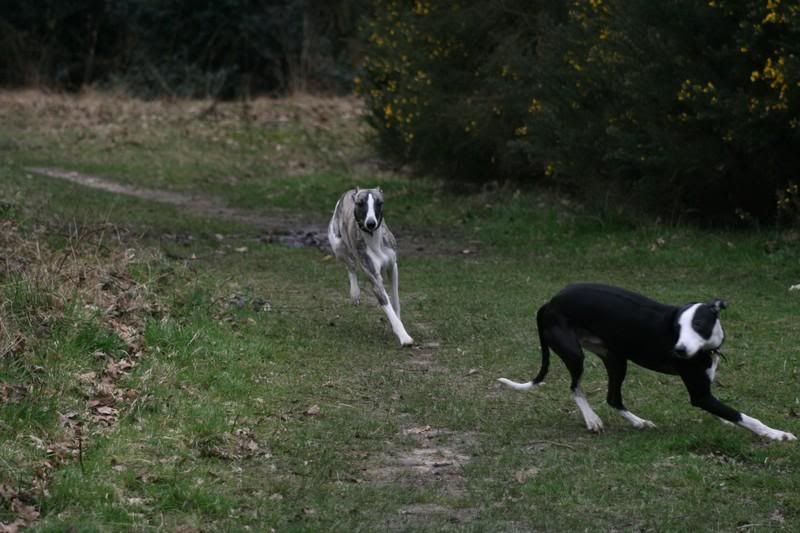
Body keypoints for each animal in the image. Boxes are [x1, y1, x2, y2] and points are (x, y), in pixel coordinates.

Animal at [326, 189, 412, 348]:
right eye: (360, 203)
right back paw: (354, 292)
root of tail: (350, 191)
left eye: (379, 202)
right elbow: (386, 303)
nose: (371, 223)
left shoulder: (393, 267)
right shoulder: (374, 278)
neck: (374, 239)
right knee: (350, 265)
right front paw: (404, 336)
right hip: (338, 246)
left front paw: (398, 325)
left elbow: (395, 300)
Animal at [496, 282, 796, 440]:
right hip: (575, 353)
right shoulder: (699, 395)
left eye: (698, 325)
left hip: (617, 359)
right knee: (575, 388)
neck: (706, 349)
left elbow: (726, 412)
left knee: (613, 398)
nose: (680, 350)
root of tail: (549, 302)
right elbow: (745, 416)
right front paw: (777, 434)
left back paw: (639, 422)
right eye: (677, 328)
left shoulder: (705, 388)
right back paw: (592, 419)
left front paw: (726, 422)